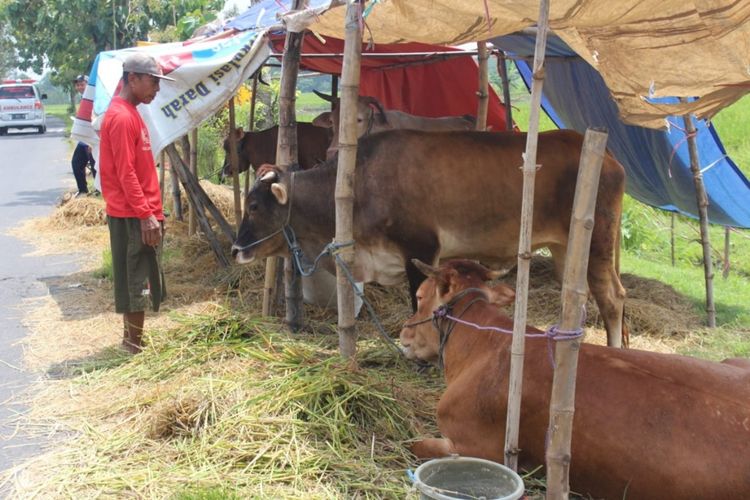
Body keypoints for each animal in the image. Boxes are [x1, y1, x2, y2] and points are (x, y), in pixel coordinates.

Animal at [234, 129, 628, 346]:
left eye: (253, 205)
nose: (237, 249)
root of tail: (607, 155)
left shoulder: (419, 250)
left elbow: (417, 302)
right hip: (568, 250)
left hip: (597, 243)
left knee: (611, 299)